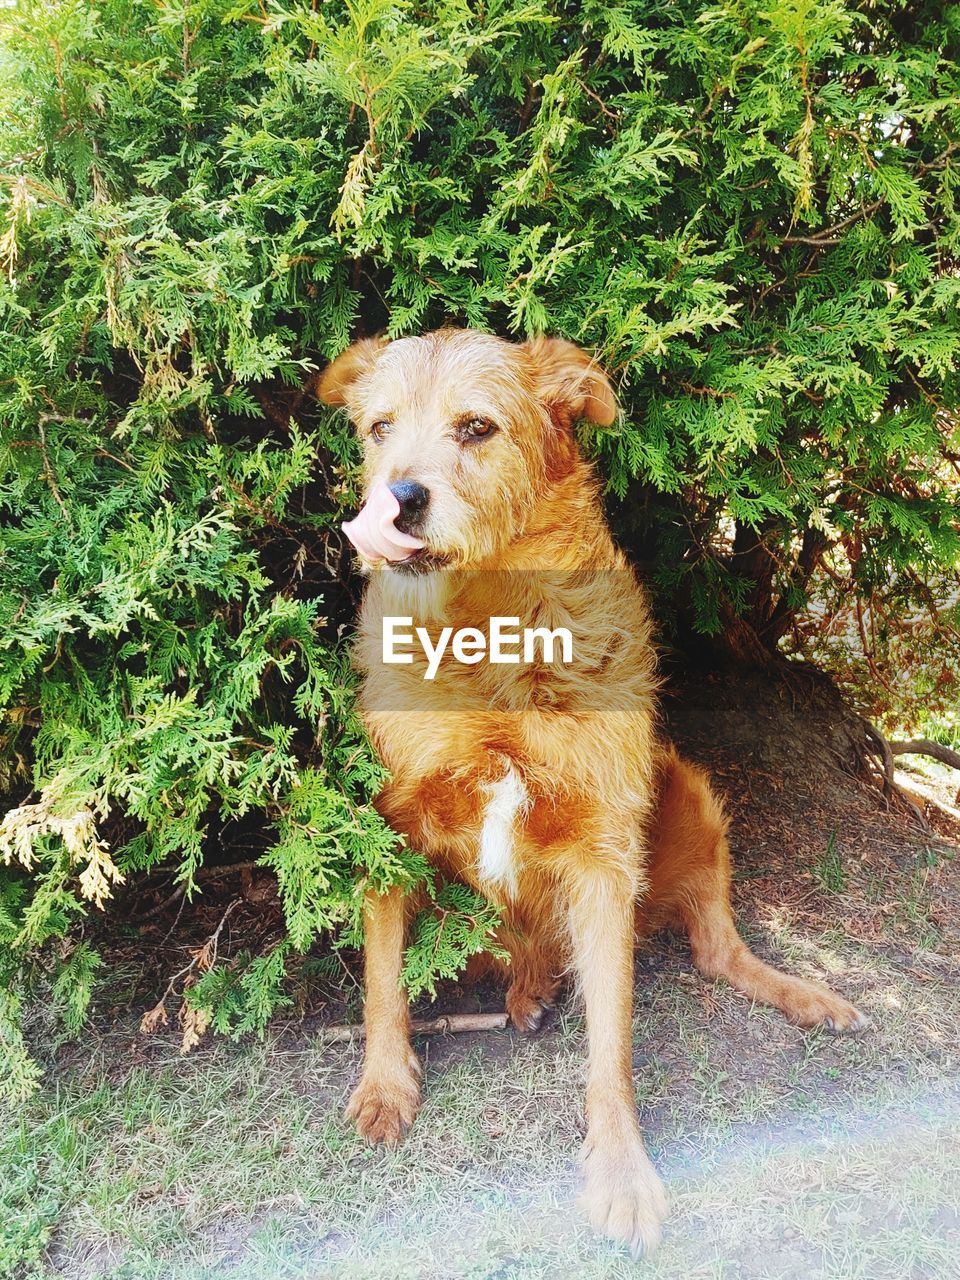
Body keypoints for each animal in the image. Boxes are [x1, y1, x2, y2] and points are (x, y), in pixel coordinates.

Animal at [320, 325, 870, 1254]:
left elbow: (611, 1044)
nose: (395, 502)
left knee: (716, 948)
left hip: (686, 787)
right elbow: (384, 982)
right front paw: (387, 1085)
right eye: (378, 428)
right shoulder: (388, 824)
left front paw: (621, 1171)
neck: (488, 638)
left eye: (477, 427)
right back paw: (528, 987)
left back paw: (804, 995)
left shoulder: (605, 857)